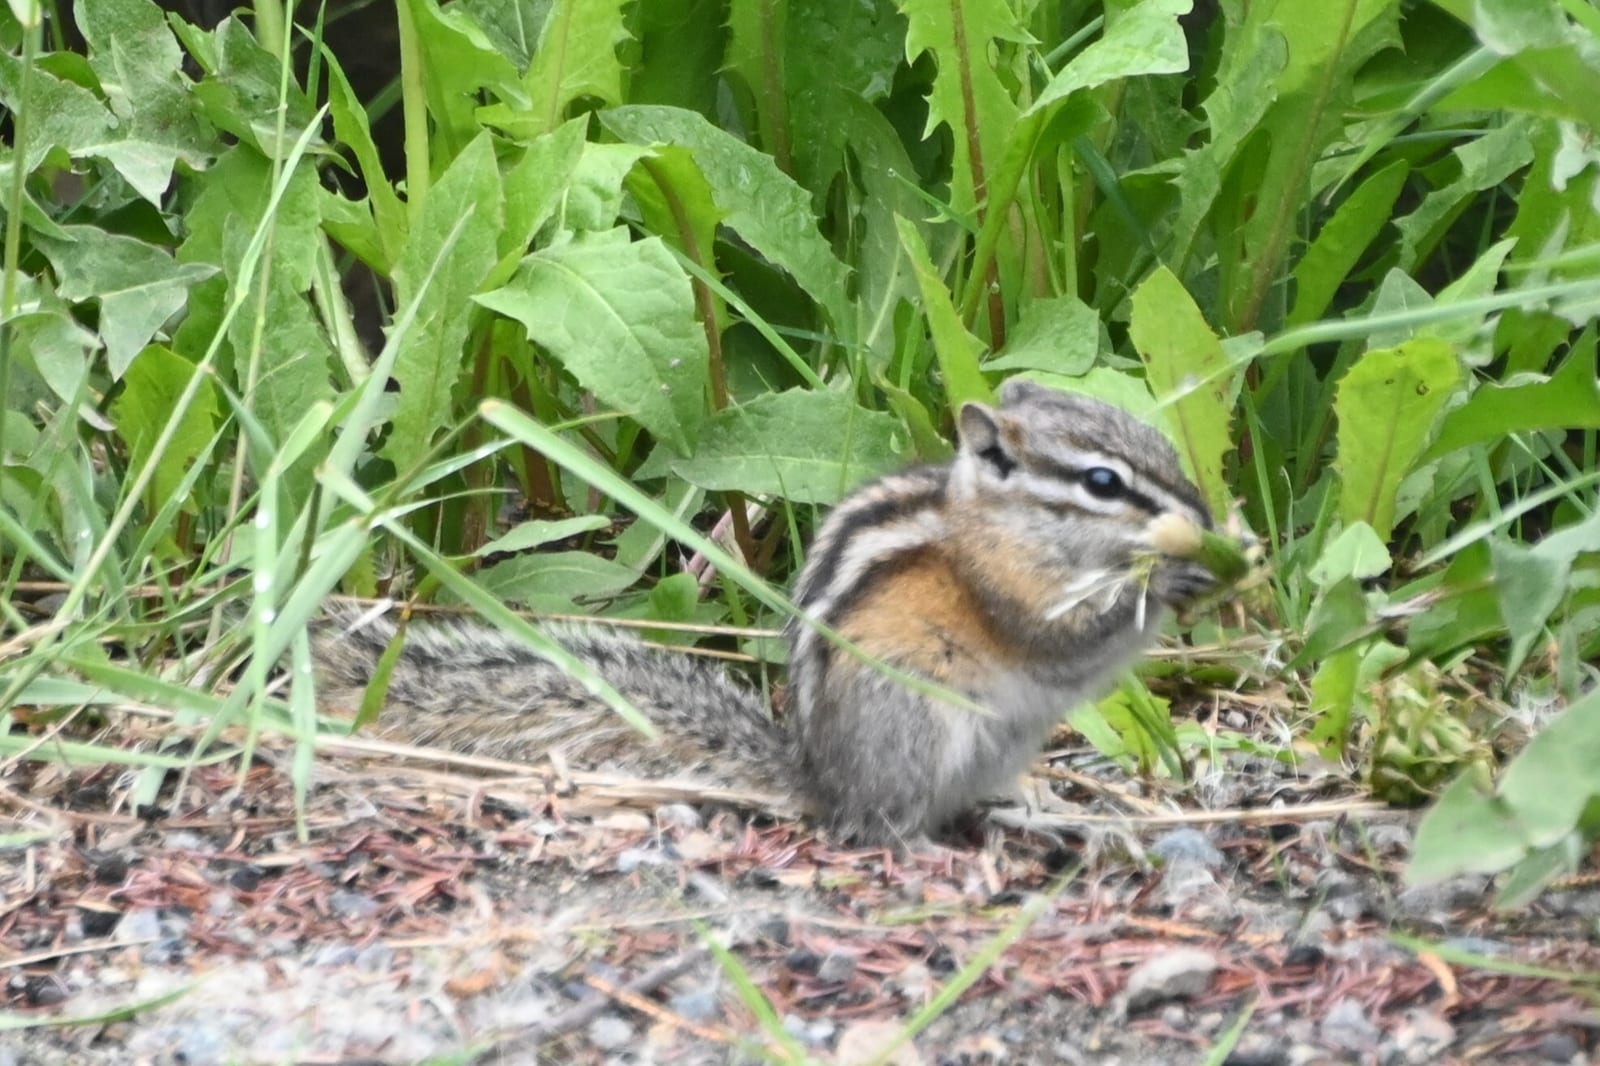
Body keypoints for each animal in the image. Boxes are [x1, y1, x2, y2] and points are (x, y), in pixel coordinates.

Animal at [314, 380, 1219, 847]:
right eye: (1101, 482)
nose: (1204, 516)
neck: (1009, 524)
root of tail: (821, 777)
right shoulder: (1006, 589)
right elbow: (1061, 641)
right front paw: (1169, 579)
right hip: (920, 720)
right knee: (886, 824)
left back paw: (1047, 820)